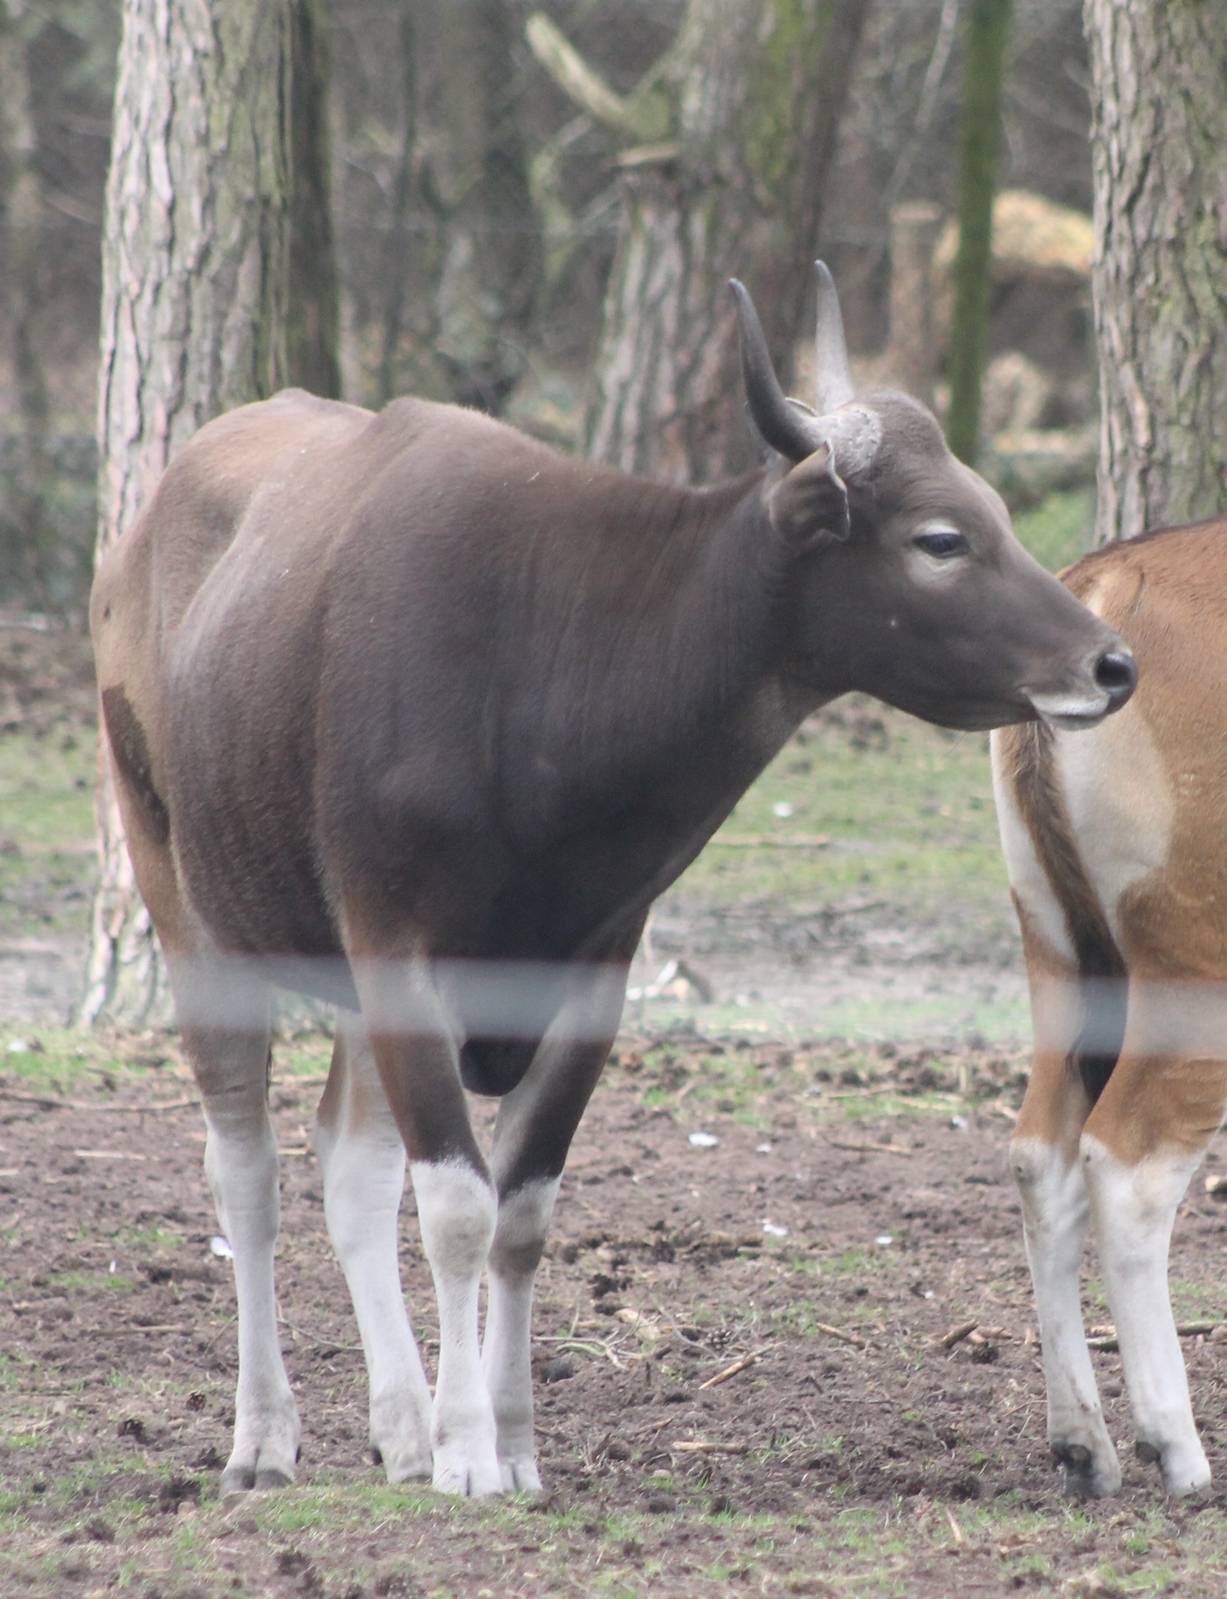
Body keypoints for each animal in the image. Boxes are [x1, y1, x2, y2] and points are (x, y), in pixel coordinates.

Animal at [91, 264, 1135, 1499]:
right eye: (940, 538)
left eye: (998, 513)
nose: (1110, 662)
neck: (550, 670)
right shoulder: (398, 945)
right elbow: (456, 1205)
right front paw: (468, 1454)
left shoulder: (591, 968)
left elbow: (522, 1213)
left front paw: (509, 1443)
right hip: (183, 901)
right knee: (245, 1172)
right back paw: (265, 1436)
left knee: (348, 1164)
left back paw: (398, 1423)